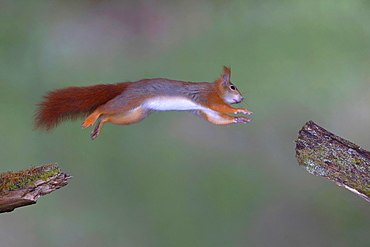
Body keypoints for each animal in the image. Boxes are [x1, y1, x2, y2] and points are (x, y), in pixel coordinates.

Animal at [35, 66, 251, 139]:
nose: (241, 97)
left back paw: (98, 127)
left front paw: (238, 119)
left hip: (135, 114)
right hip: (129, 101)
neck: (215, 89)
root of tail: (130, 86)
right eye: (233, 87)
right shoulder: (207, 97)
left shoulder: (204, 108)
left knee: (107, 116)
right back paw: (91, 119)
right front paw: (241, 110)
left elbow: (216, 117)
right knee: (103, 108)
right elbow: (220, 107)